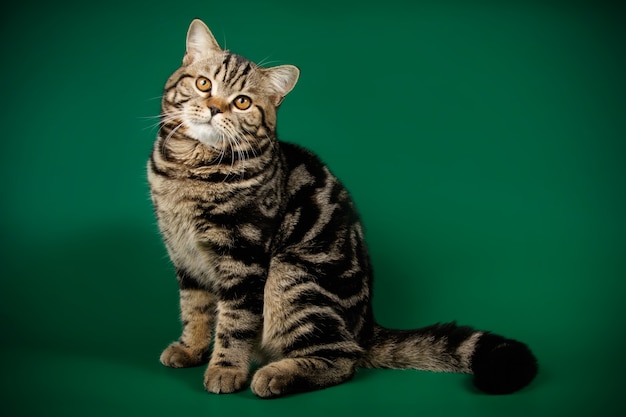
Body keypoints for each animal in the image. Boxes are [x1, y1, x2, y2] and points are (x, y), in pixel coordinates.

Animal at [147, 18, 536, 396]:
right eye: (203, 83)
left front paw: (225, 369)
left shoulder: (243, 258)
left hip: (291, 277)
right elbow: (195, 309)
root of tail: (366, 326)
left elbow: (234, 322)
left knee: (342, 359)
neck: (189, 170)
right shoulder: (185, 258)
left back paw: (277, 375)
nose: (214, 108)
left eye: (242, 102)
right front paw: (191, 349)